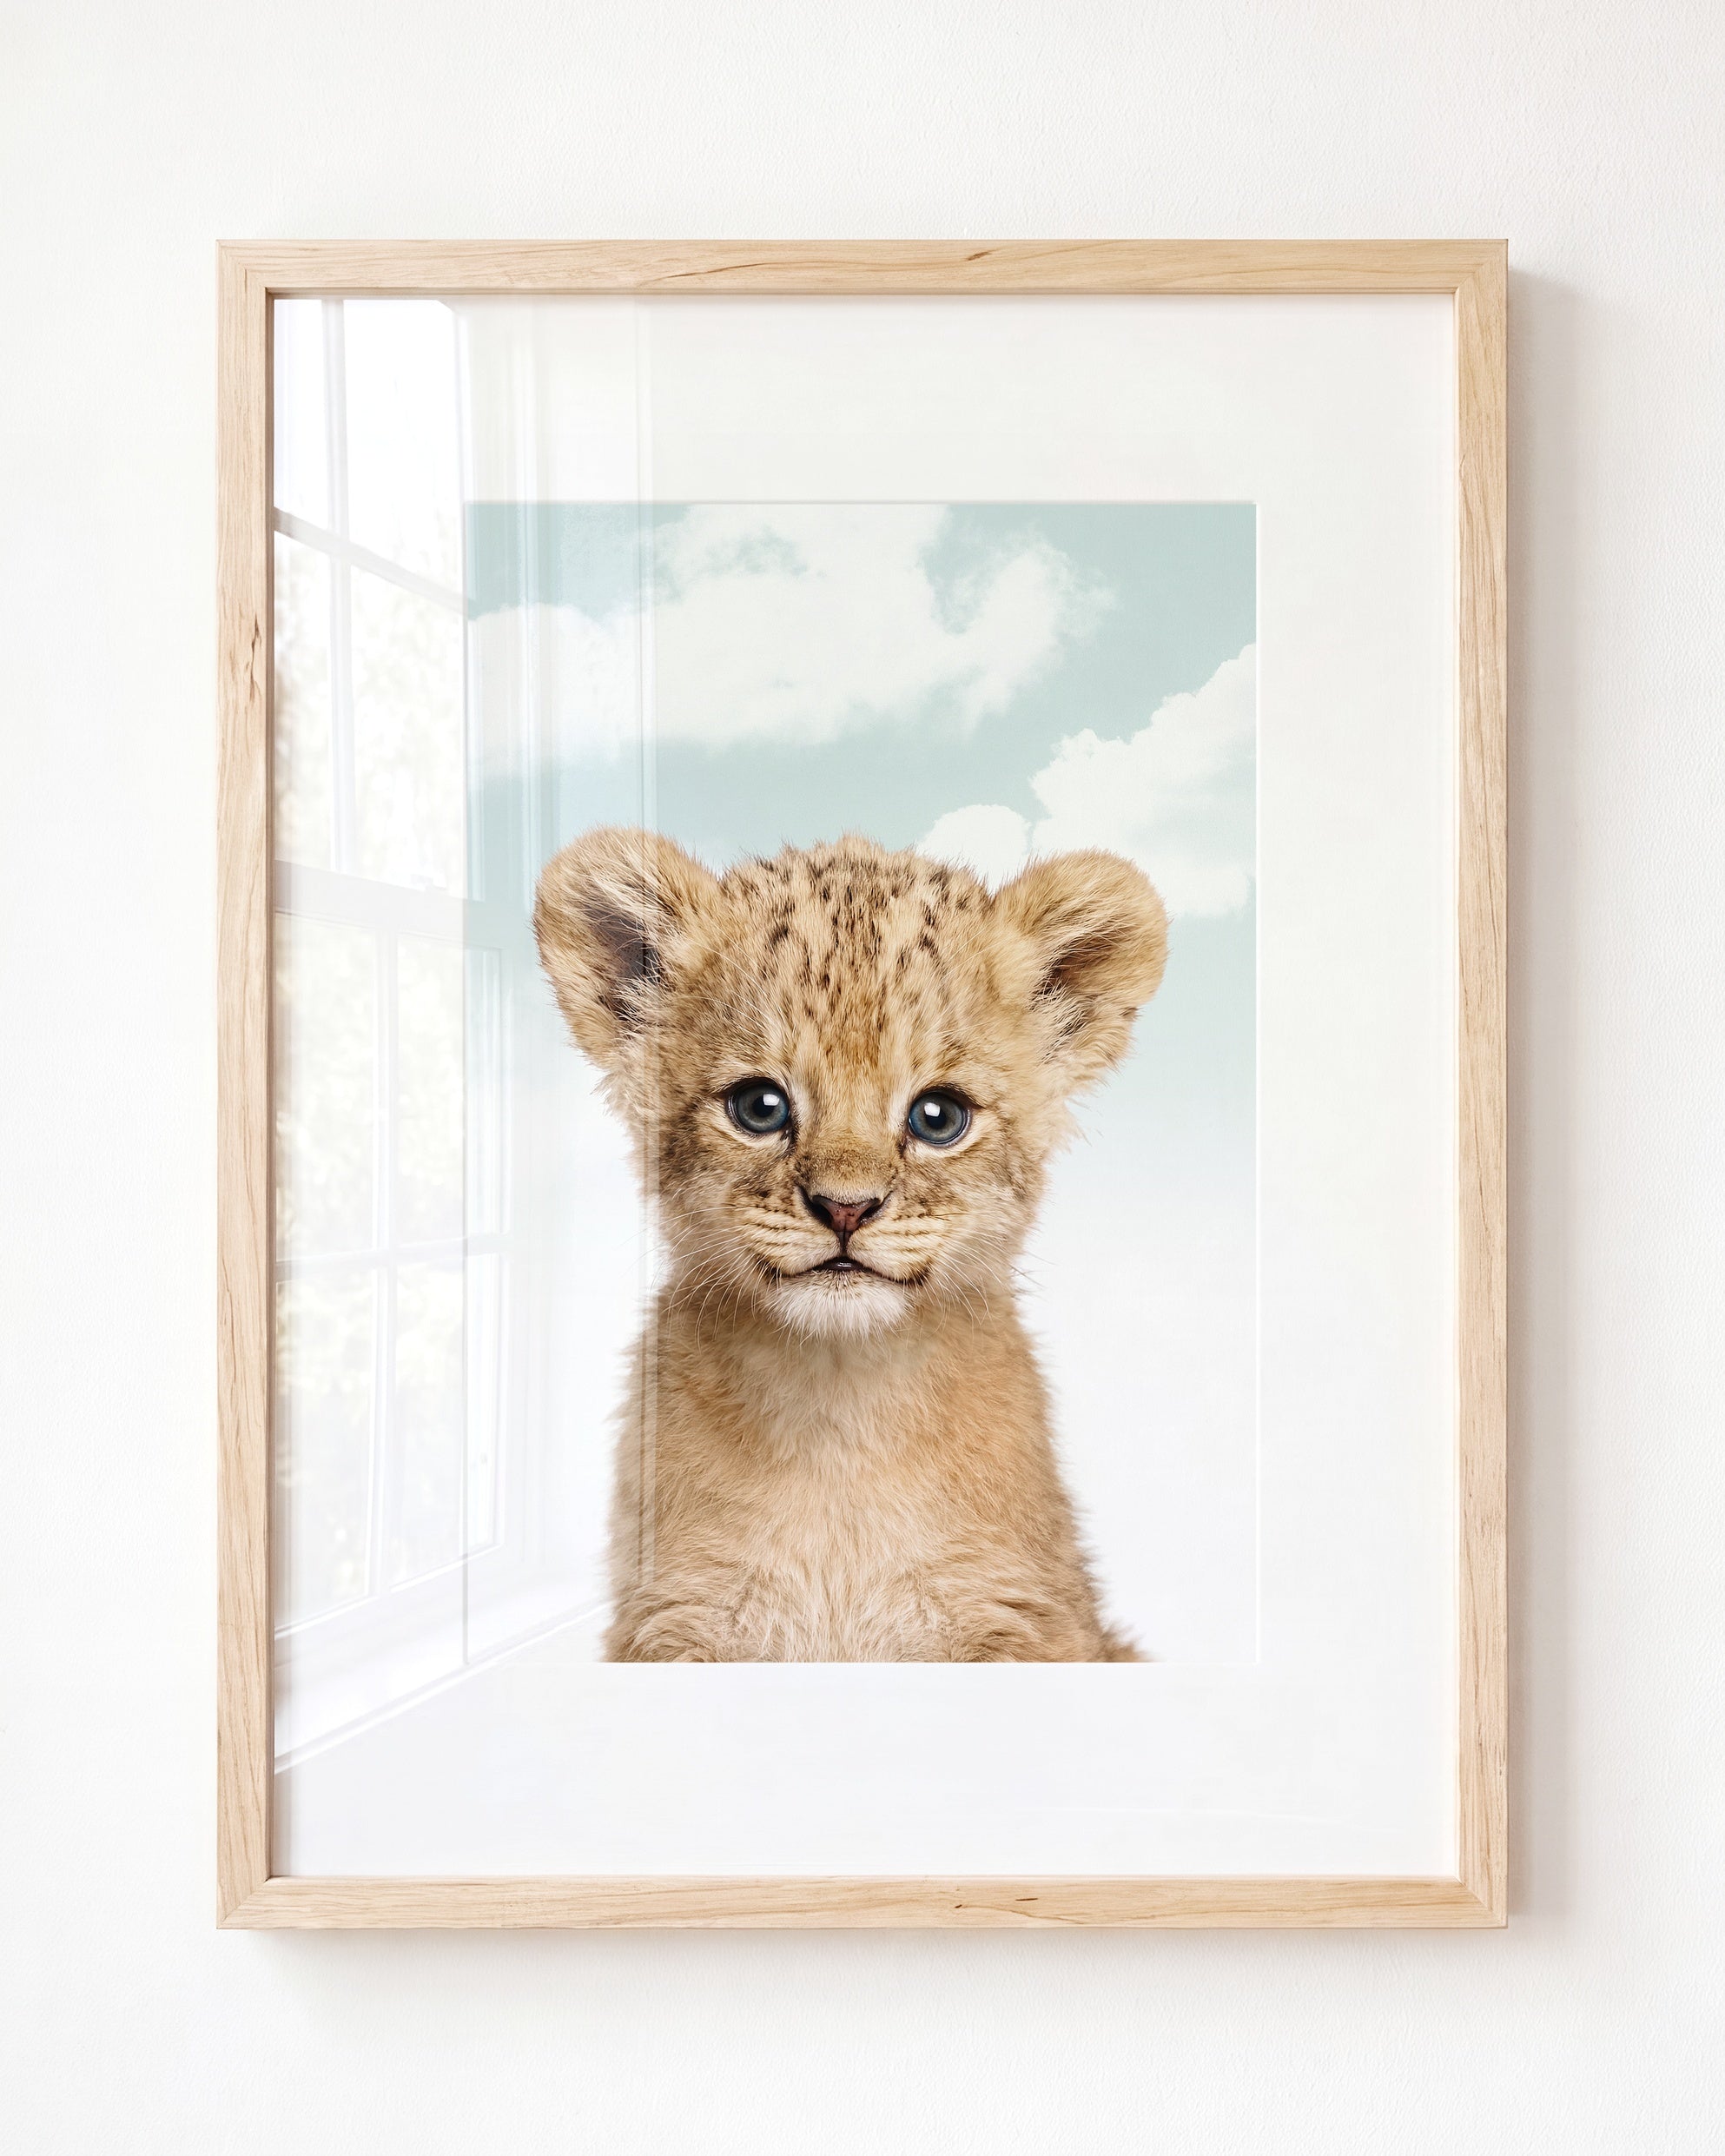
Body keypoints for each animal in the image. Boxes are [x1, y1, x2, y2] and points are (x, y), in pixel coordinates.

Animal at [534, 829, 1167, 1661]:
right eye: (759, 1107)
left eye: (939, 1117)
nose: (845, 1208)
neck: (839, 1412)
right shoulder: (675, 1618)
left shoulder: (1021, 1618)